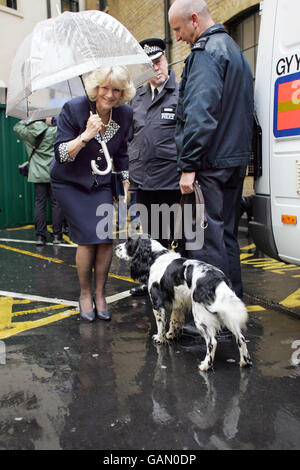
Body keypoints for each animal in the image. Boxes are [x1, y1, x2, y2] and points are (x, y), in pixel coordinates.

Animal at [116, 237, 252, 372]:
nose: (116, 247)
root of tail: (217, 279)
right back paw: (245, 362)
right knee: (241, 338)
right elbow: (174, 321)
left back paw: (206, 365)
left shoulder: (157, 302)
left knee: (212, 341)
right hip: (226, 313)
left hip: (200, 316)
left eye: (128, 242)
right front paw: (171, 335)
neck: (156, 256)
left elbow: (160, 323)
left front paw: (160, 338)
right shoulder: (178, 301)